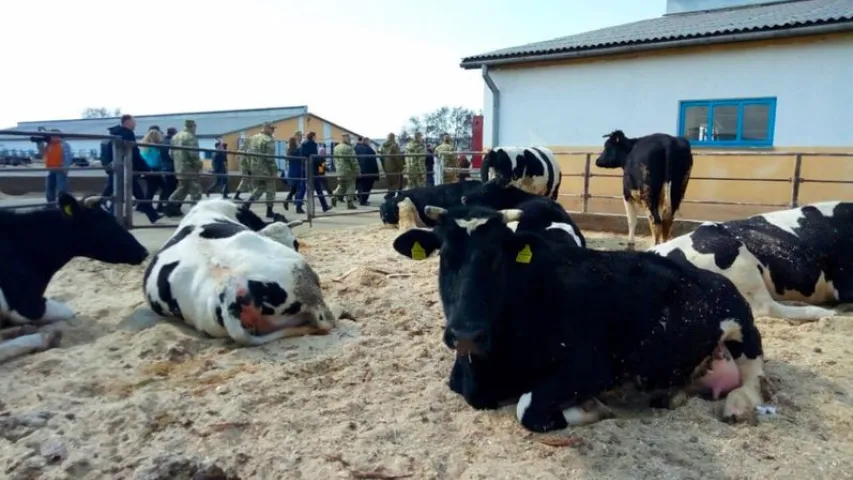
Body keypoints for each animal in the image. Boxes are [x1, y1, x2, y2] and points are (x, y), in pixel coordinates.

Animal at [392, 204, 764, 434]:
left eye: (498, 257)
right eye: (444, 255)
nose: (467, 334)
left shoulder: (593, 366)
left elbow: (527, 407)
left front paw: (592, 408)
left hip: (744, 329)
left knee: (754, 378)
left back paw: (737, 406)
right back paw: (673, 395)